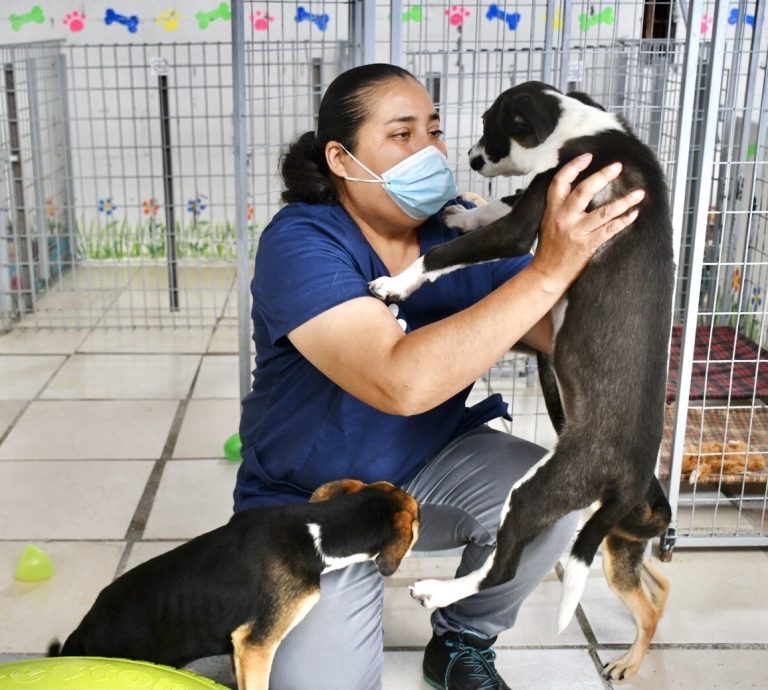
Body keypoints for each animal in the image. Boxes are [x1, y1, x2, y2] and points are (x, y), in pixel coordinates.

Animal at [368, 80, 676, 676]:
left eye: (490, 126)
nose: (469, 159)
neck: (585, 130)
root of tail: (633, 479)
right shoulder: (537, 199)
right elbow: (494, 206)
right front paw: (462, 212)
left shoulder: (531, 217)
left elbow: (446, 251)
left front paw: (396, 284)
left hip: (539, 490)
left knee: (504, 567)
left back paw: (438, 592)